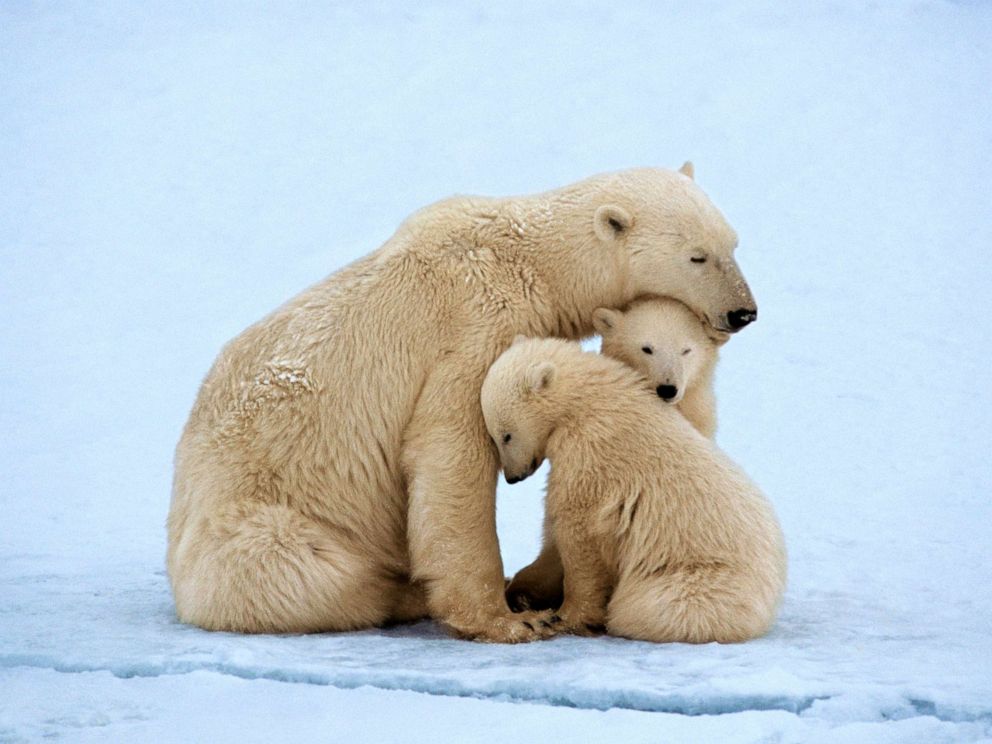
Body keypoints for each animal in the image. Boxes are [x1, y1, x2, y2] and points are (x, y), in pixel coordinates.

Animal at [484, 338, 788, 644]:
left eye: (506, 435)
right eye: (494, 436)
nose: (513, 477)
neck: (588, 400)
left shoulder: (592, 451)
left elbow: (578, 529)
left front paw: (564, 617)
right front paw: (523, 591)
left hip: (701, 579)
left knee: (647, 607)